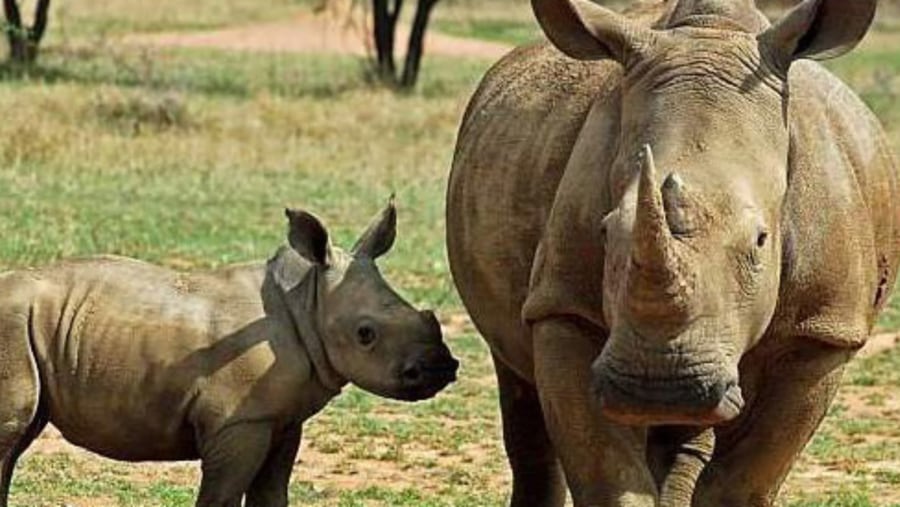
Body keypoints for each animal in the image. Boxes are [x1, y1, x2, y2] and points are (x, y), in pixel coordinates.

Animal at [0, 202, 458, 507]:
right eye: (365, 335)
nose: (443, 367)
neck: (308, 303)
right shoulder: (237, 421)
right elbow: (221, 497)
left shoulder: (281, 420)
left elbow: (271, 495)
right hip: (12, 326)